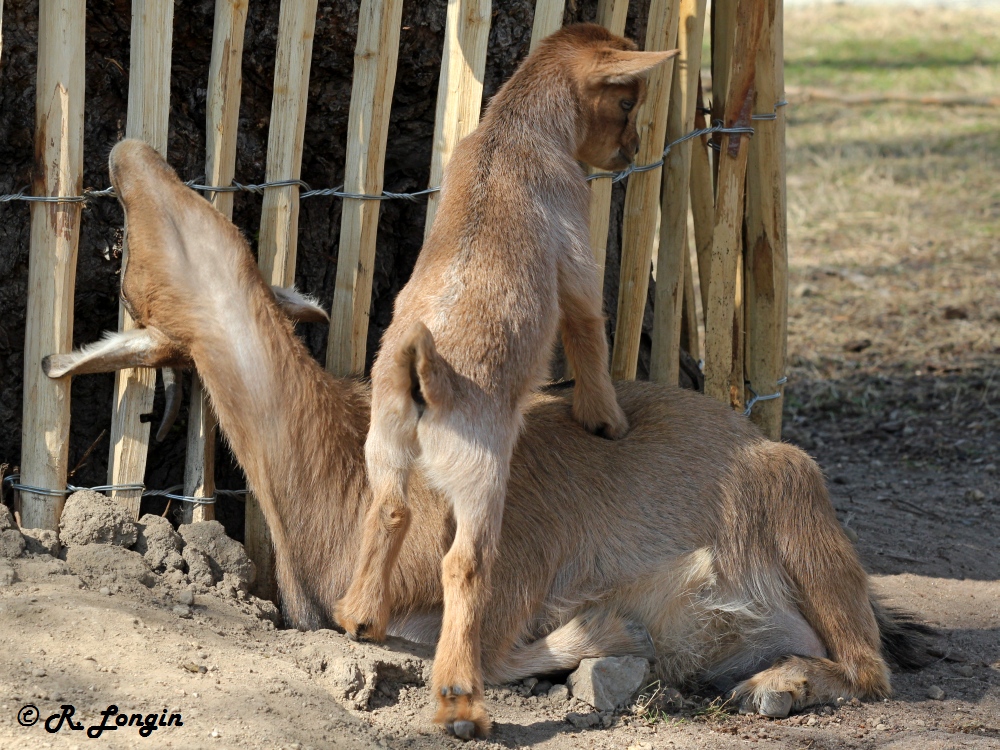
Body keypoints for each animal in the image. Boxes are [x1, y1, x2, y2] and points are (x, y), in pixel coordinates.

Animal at [336, 26, 680, 736]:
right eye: (627, 102)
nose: (631, 150)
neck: (514, 129)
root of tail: (426, 375)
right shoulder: (576, 260)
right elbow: (588, 336)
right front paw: (609, 422)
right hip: (481, 475)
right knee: (464, 565)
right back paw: (460, 702)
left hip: (385, 447)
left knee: (387, 511)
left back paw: (359, 616)